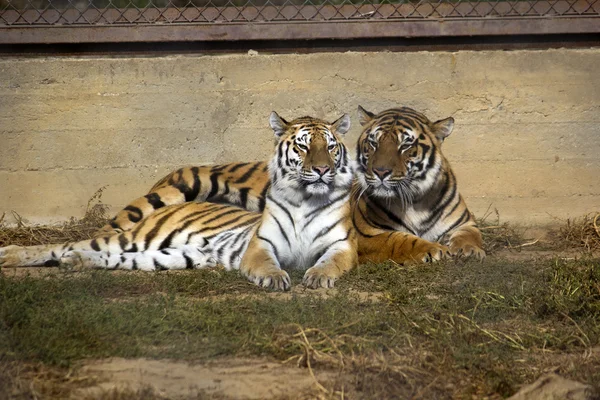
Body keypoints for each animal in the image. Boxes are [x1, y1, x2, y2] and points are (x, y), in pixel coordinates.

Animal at [0, 112, 356, 290]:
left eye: (331, 146)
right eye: (303, 146)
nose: (322, 170)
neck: (305, 199)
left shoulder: (342, 246)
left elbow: (331, 262)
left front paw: (318, 276)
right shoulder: (261, 244)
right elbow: (267, 263)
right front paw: (275, 277)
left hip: (169, 255)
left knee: (102, 256)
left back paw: (76, 263)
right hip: (143, 223)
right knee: (64, 244)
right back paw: (11, 254)